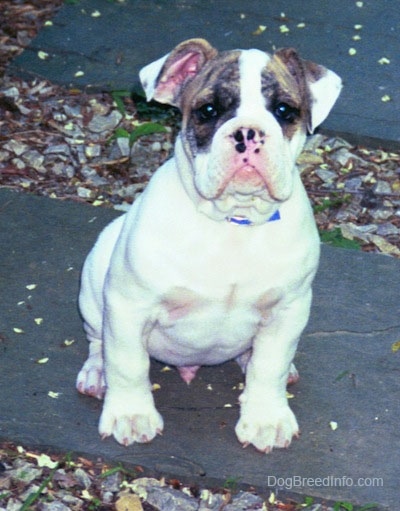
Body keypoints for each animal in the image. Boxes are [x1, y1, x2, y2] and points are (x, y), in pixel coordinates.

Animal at [76, 39, 342, 452]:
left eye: (284, 111)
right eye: (209, 111)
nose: (248, 133)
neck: (234, 221)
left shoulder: (289, 309)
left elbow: (270, 364)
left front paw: (266, 417)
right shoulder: (128, 305)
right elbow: (127, 361)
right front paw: (131, 415)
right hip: (94, 282)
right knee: (97, 340)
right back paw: (96, 373)